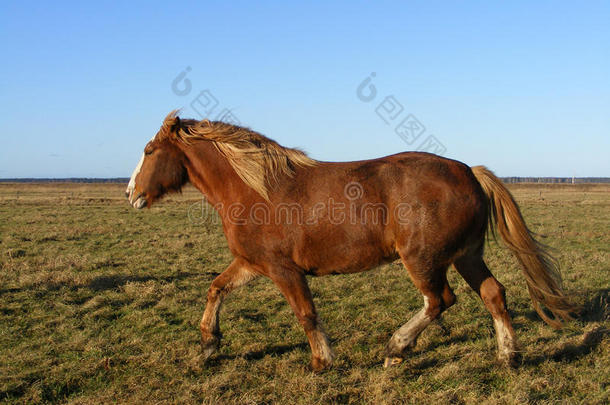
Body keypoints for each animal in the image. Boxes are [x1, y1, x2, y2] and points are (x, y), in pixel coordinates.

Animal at [126, 110, 572, 370]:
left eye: (148, 150)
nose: (131, 193)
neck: (256, 189)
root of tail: (469, 172)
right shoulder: (252, 264)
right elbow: (216, 289)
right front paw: (207, 346)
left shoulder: (283, 270)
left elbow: (306, 313)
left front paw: (322, 361)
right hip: (466, 255)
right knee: (493, 294)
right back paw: (508, 355)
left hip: (423, 259)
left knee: (439, 301)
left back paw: (396, 348)